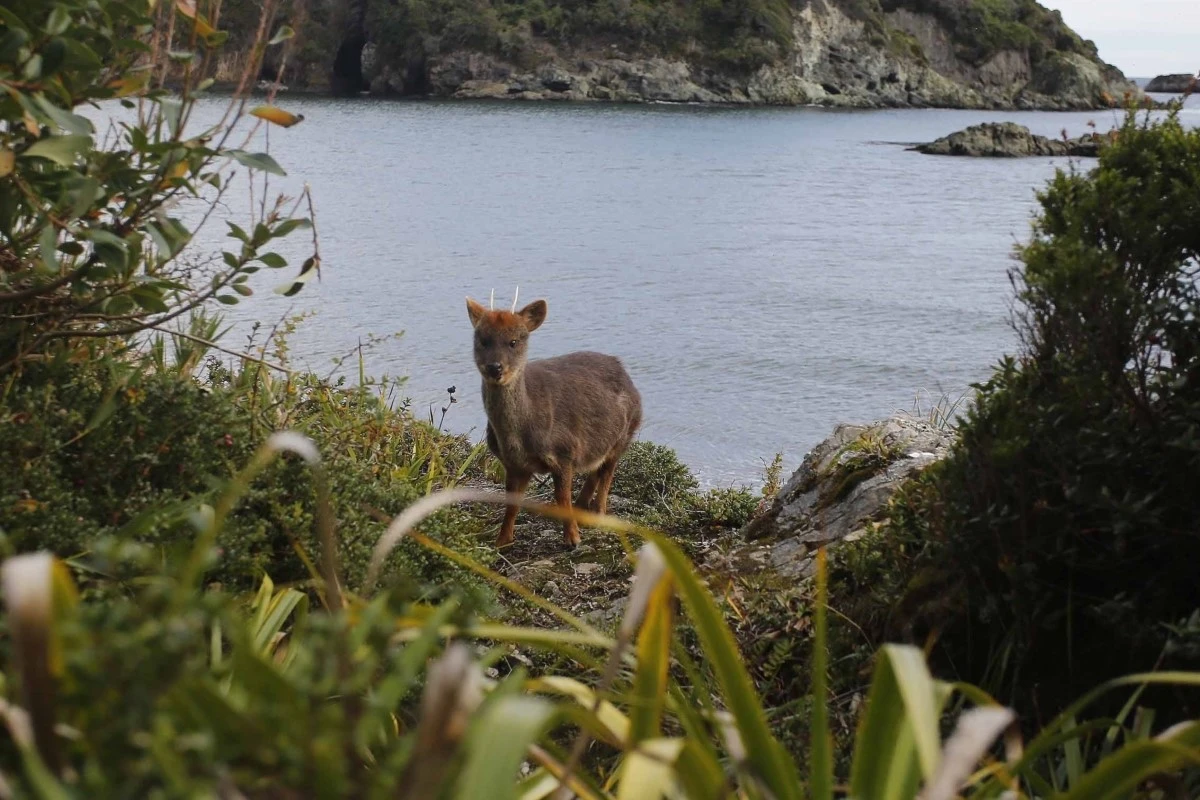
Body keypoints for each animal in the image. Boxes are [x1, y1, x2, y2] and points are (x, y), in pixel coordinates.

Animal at [465, 293, 643, 551]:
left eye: (513, 341)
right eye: (483, 340)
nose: (495, 368)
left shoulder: (565, 450)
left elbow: (562, 497)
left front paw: (572, 539)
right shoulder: (514, 464)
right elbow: (512, 503)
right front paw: (502, 541)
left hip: (626, 432)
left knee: (608, 472)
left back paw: (599, 513)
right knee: (595, 469)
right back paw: (583, 509)